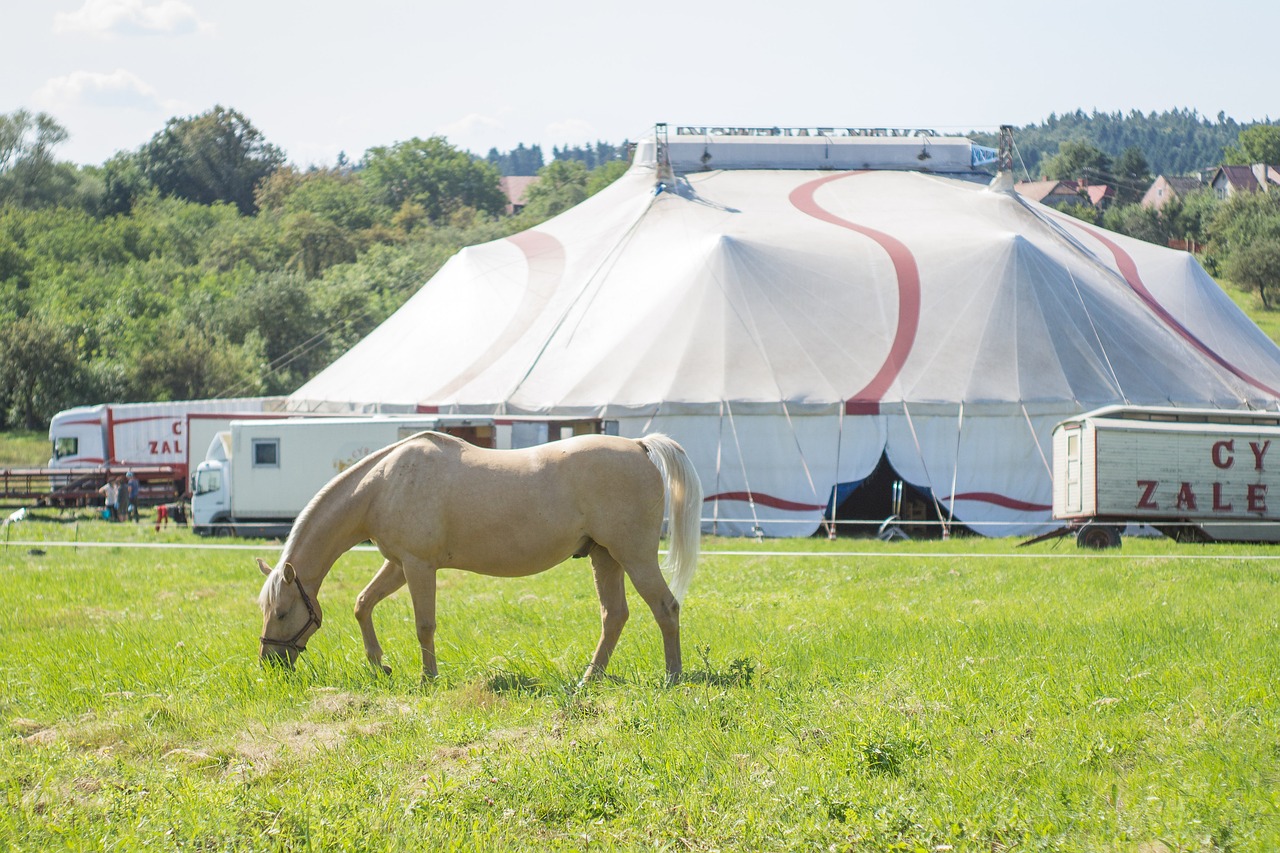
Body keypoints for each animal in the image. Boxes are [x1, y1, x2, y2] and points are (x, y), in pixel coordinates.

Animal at [254, 427, 706, 681]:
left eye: (282, 612)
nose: (269, 664)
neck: (383, 484)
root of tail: (640, 445)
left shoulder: (418, 566)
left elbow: (424, 625)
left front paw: (429, 678)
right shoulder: (398, 564)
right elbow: (363, 604)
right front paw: (380, 665)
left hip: (634, 556)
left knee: (665, 607)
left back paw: (672, 676)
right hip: (605, 558)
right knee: (614, 616)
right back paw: (589, 679)